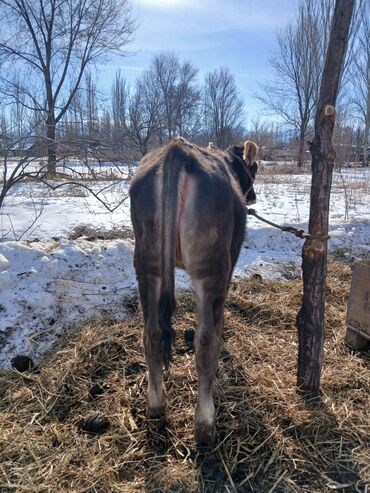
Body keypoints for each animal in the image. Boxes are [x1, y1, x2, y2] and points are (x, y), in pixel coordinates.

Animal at [130, 136, 258, 444]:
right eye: (255, 167)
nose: (253, 198)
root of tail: (178, 150)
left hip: (147, 262)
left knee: (152, 332)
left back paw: (156, 406)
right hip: (212, 267)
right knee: (205, 340)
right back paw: (205, 424)